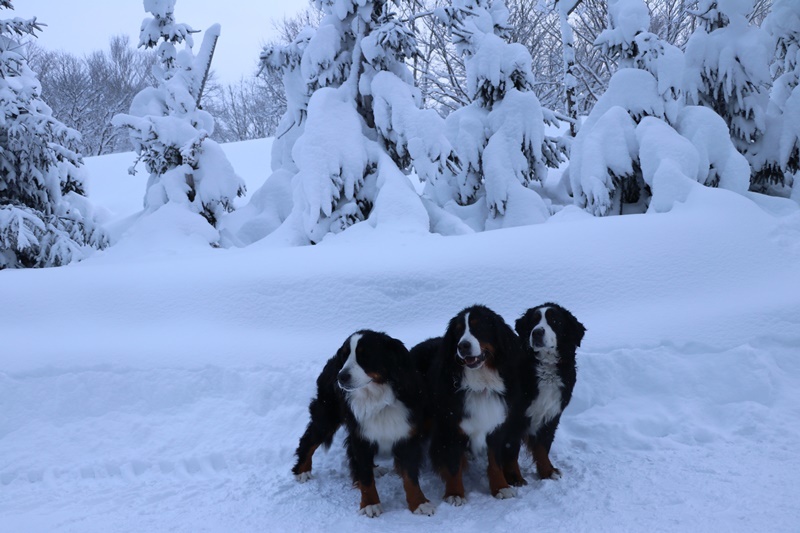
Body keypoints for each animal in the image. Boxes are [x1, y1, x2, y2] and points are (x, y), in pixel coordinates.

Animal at [292, 328, 434, 516]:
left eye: (364, 355)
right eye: (345, 355)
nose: (341, 376)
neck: (377, 399)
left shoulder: (406, 434)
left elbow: (410, 476)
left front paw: (419, 503)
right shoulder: (360, 435)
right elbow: (366, 477)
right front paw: (370, 504)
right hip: (327, 416)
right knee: (308, 440)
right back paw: (302, 471)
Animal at [416, 306, 528, 504]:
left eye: (480, 327)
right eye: (458, 331)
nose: (463, 346)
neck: (481, 384)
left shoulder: (495, 424)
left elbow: (495, 461)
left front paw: (501, 487)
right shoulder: (450, 427)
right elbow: (453, 464)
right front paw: (454, 493)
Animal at [506, 302, 588, 480]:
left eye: (555, 321)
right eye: (534, 321)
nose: (537, 332)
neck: (546, 367)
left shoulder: (551, 414)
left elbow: (543, 447)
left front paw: (547, 472)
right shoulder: (513, 417)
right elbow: (510, 450)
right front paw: (514, 478)